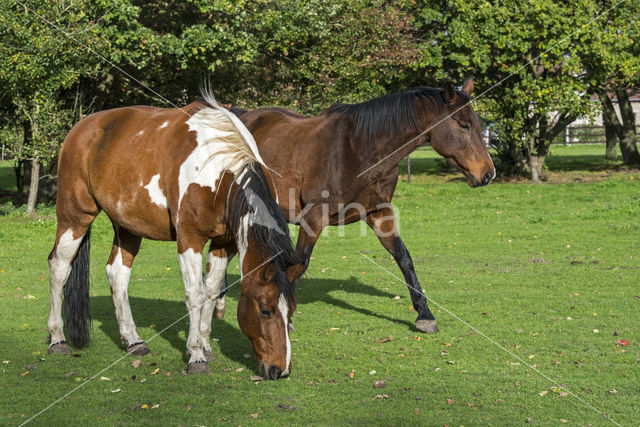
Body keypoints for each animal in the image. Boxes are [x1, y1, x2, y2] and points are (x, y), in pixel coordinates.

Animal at [47, 96, 302, 378]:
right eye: (265, 311)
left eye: (291, 312)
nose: (281, 370)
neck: (217, 167)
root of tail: (81, 128)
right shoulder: (189, 239)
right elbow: (195, 294)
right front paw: (196, 355)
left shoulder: (224, 243)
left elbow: (212, 291)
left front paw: (206, 345)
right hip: (75, 216)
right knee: (59, 267)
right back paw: (57, 339)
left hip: (127, 226)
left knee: (118, 273)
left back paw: (133, 340)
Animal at [218, 78, 498, 336]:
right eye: (464, 125)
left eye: (477, 124)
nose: (488, 173)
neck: (359, 151)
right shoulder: (314, 218)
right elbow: (299, 263)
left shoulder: (379, 212)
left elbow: (403, 257)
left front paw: (424, 314)